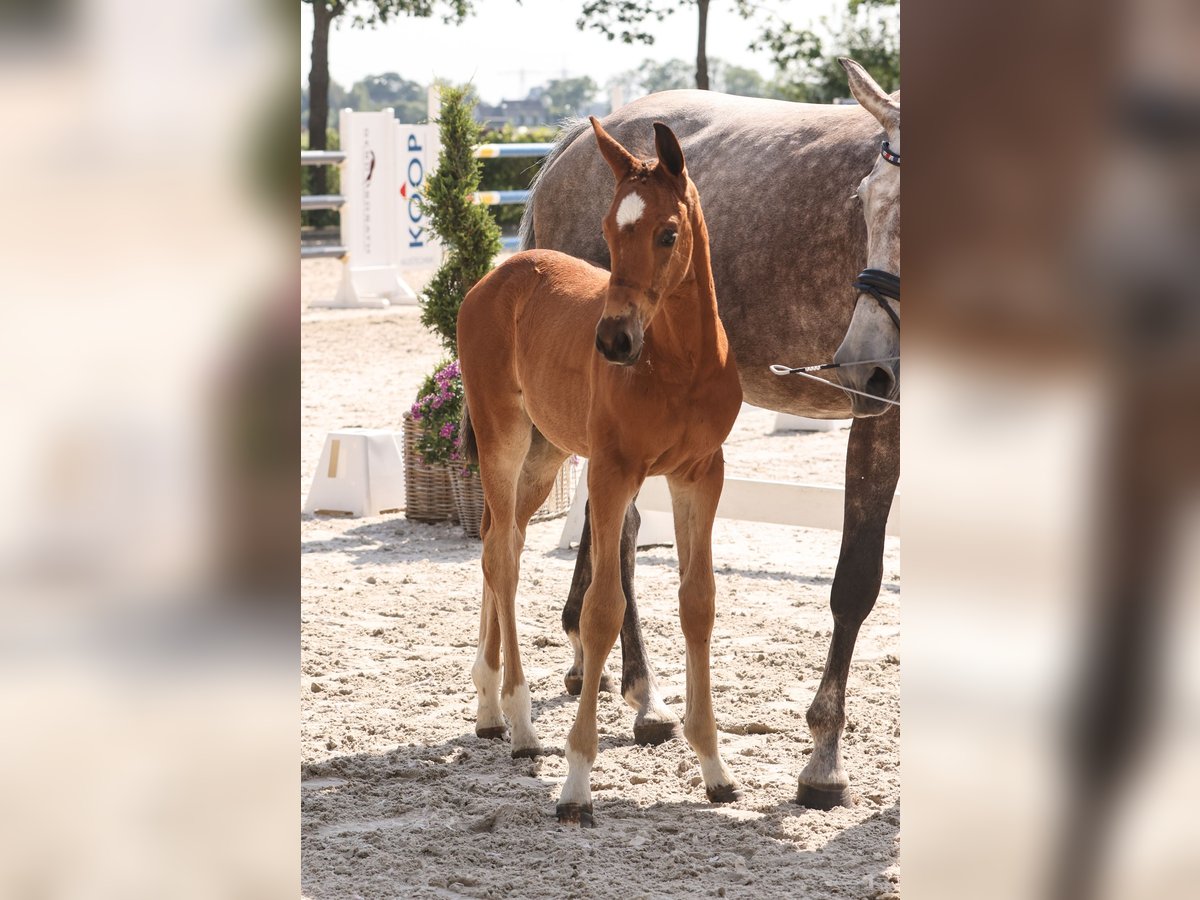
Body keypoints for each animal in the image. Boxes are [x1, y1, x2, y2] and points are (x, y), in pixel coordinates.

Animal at [456, 121, 744, 830]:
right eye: (610, 231)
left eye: (667, 233)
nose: (612, 341)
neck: (678, 363)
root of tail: (497, 275)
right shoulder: (614, 473)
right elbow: (602, 608)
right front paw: (577, 784)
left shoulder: (702, 474)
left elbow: (698, 603)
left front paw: (714, 768)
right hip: (503, 439)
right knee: (501, 558)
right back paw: (521, 721)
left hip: (544, 455)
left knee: (499, 541)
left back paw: (487, 706)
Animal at [525, 61, 902, 811]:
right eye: (865, 199)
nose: (864, 362)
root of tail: (571, 145)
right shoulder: (883, 413)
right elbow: (856, 579)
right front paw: (824, 759)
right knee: (624, 536)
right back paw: (645, 698)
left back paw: (590, 661)